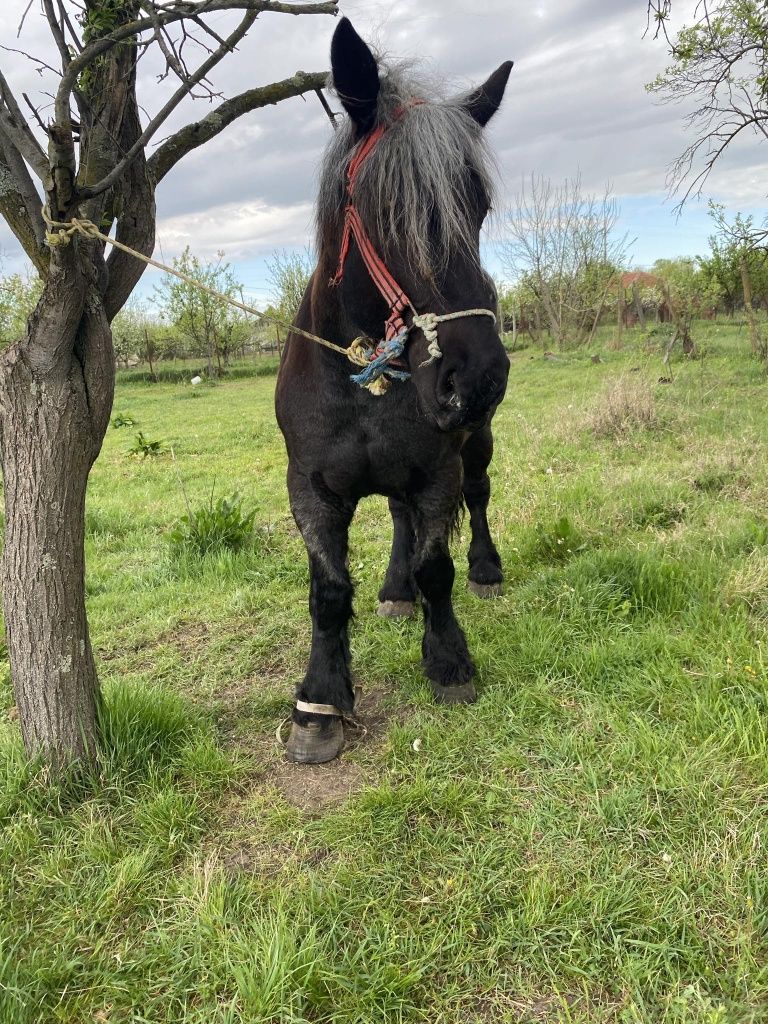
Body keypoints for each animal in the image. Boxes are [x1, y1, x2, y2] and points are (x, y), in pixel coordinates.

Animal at [274, 18, 514, 761]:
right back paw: (393, 588)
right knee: (401, 520)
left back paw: (485, 570)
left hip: (476, 447)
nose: (478, 377)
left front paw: (449, 663)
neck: (365, 383)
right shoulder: (312, 490)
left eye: (478, 204)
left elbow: (439, 567)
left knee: (479, 497)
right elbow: (328, 590)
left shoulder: (438, 469)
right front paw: (320, 703)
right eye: (382, 209)